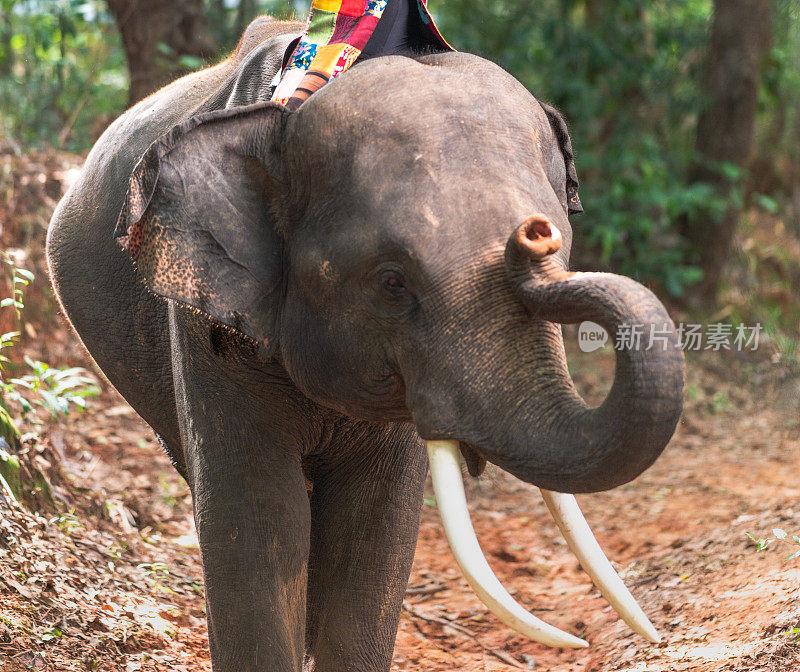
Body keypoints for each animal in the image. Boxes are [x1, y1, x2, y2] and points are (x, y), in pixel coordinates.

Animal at [45, 15, 680, 672]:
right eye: (393, 282)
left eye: (564, 243)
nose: (534, 235)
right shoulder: (206, 325)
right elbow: (258, 521)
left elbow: (374, 529)